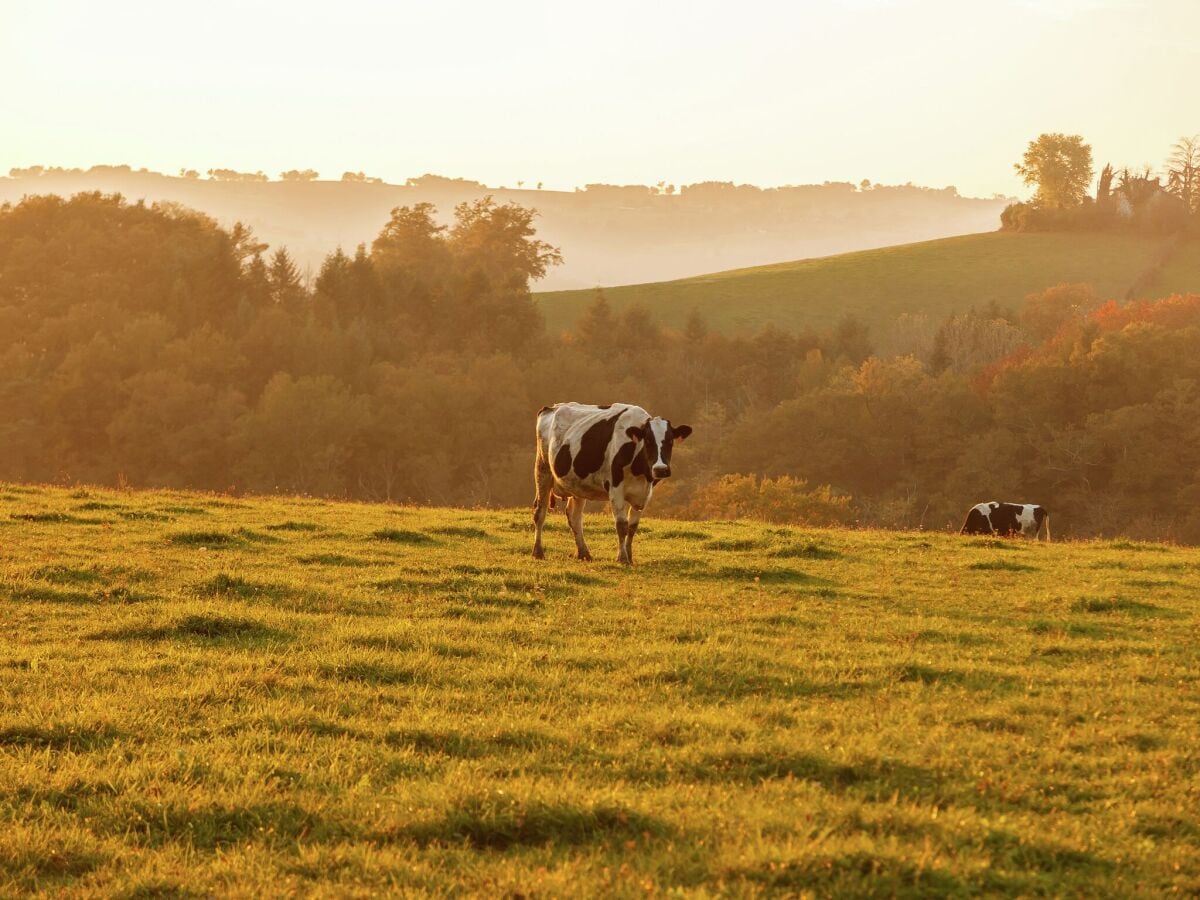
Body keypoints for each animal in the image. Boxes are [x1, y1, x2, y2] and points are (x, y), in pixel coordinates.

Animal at [530, 405, 691, 566]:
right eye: (648, 440)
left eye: (670, 440)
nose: (660, 469)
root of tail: (551, 407)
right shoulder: (615, 489)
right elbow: (622, 525)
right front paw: (622, 558)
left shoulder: (644, 494)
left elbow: (632, 526)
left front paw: (630, 557)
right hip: (542, 469)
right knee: (540, 512)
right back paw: (538, 552)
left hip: (577, 484)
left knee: (574, 517)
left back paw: (584, 553)